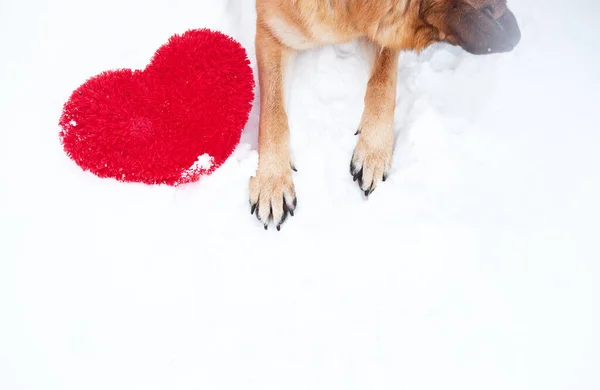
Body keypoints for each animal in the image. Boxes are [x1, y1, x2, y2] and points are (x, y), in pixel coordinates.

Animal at [248, 0, 520, 229]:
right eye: (490, 8)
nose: (517, 37)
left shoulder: (383, 33)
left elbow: (383, 82)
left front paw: (373, 151)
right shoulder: (270, 31)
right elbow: (272, 114)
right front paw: (271, 180)